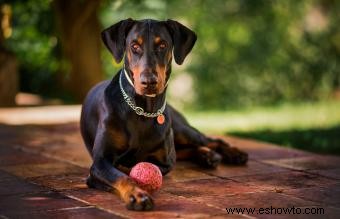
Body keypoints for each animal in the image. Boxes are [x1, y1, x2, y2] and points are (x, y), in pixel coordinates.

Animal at [81, 18, 248, 210]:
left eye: (162, 45)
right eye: (134, 46)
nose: (149, 82)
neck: (142, 110)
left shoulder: (165, 161)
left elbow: (139, 168)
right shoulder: (100, 161)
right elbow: (124, 174)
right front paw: (137, 195)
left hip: (181, 130)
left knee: (212, 140)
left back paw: (232, 154)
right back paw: (208, 155)